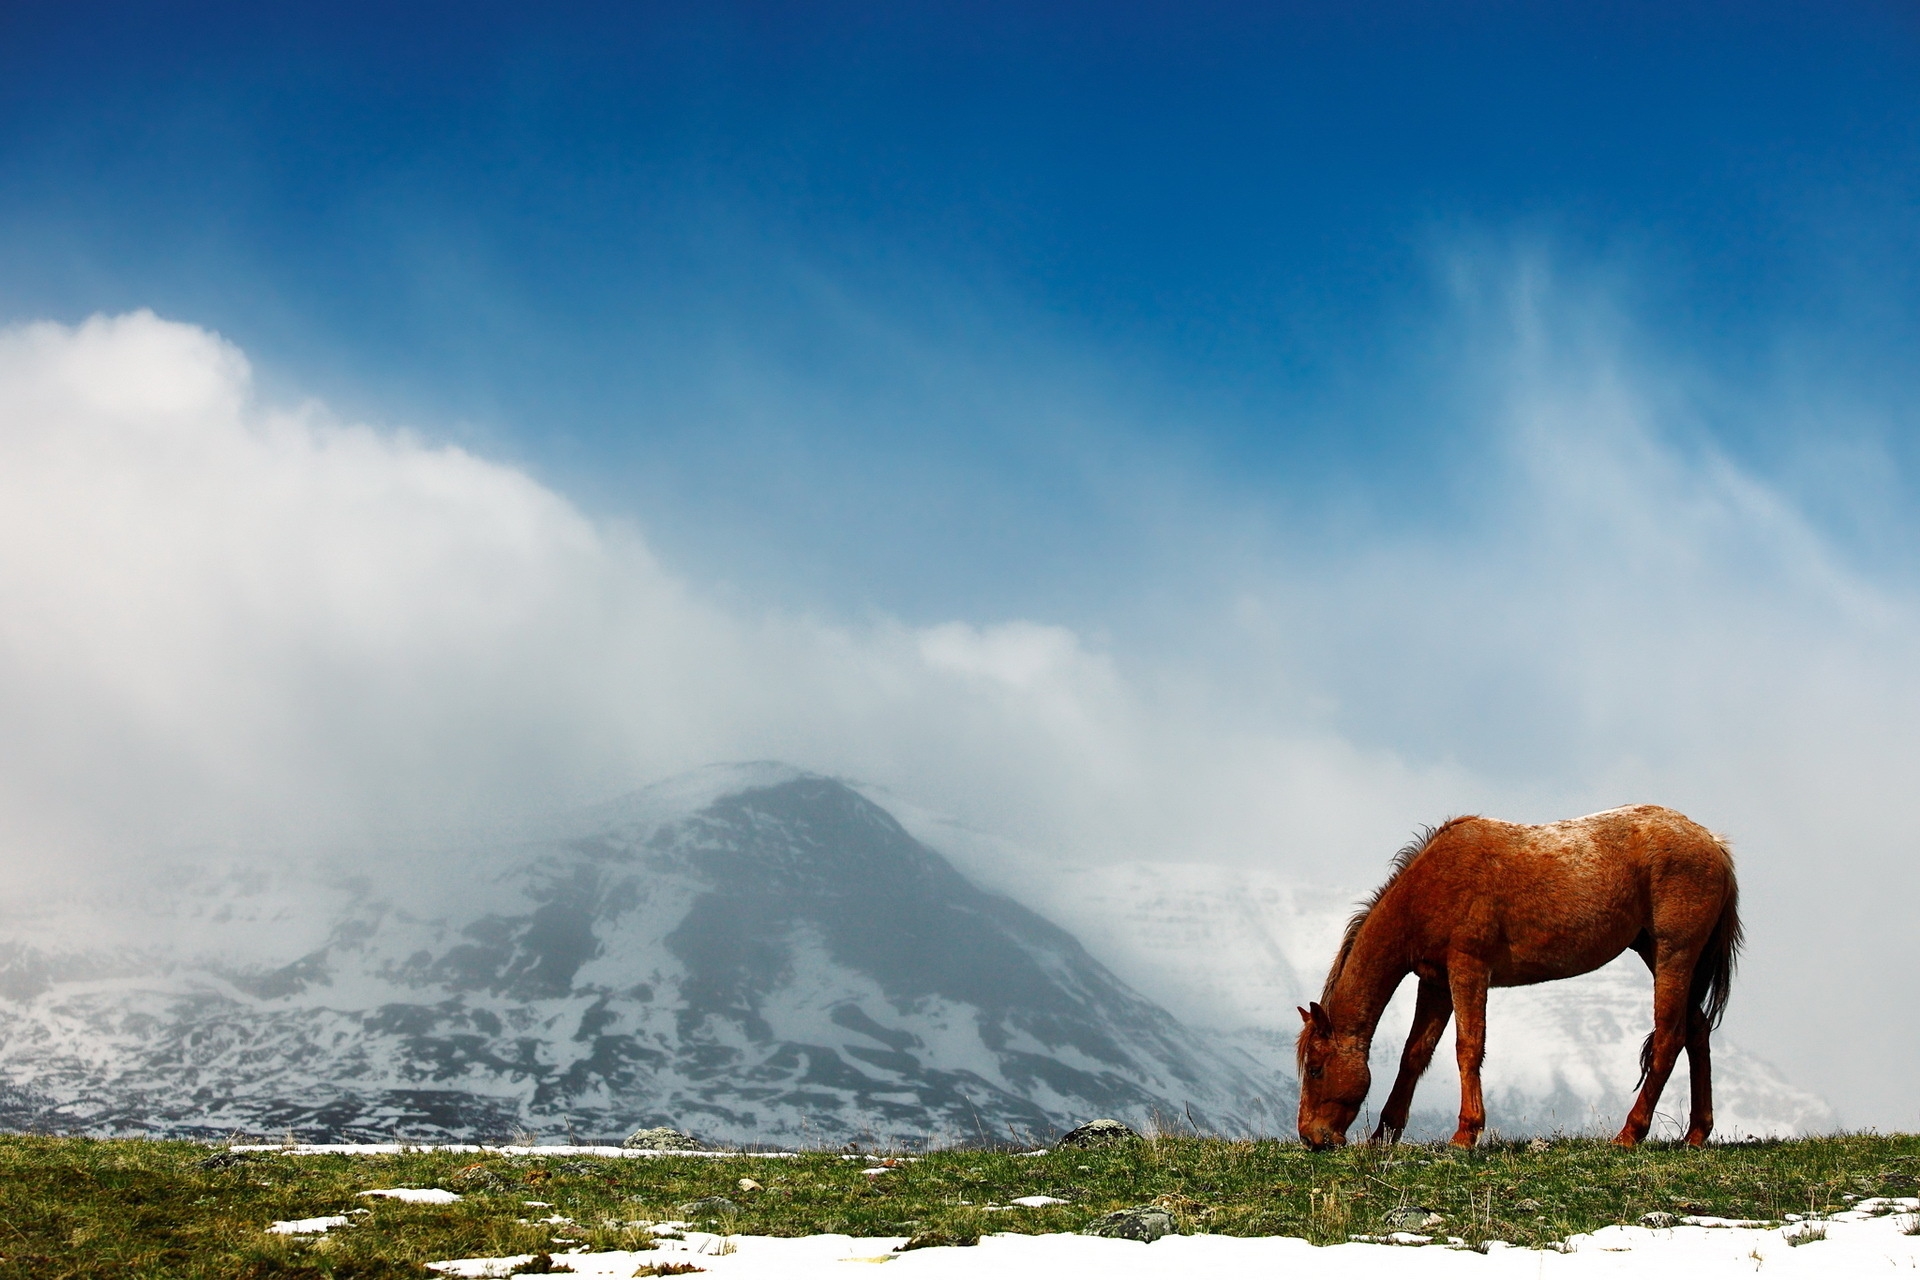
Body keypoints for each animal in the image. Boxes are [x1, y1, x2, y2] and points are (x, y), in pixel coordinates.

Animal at [1297, 802, 1735, 1151]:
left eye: (1316, 1068)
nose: (1310, 1137)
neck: (1428, 888)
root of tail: (1712, 842)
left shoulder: (1468, 968)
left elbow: (1467, 1047)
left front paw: (1466, 1133)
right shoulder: (1435, 981)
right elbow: (1415, 1053)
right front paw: (1384, 1134)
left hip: (1673, 955)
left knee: (1669, 1040)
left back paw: (1630, 1133)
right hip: (1657, 953)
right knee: (1697, 1032)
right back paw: (1696, 1134)